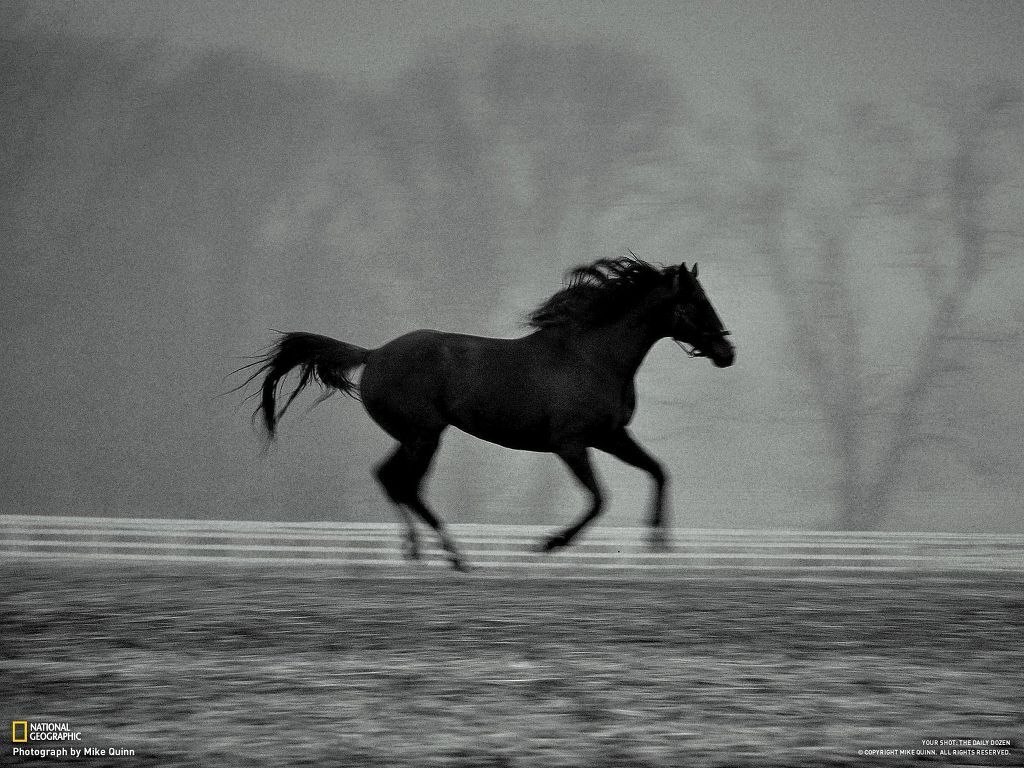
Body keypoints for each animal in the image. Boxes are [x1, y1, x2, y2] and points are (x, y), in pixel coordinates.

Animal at [240, 256, 734, 570]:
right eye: (695, 303)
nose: (727, 352)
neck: (593, 356)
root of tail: (374, 354)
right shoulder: (571, 444)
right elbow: (598, 499)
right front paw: (549, 544)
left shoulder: (611, 437)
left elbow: (658, 470)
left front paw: (658, 539)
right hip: (425, 435)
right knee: (405, 484)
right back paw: (452, 555)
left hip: (414, 436)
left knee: (390, 479)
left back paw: (419, 550)